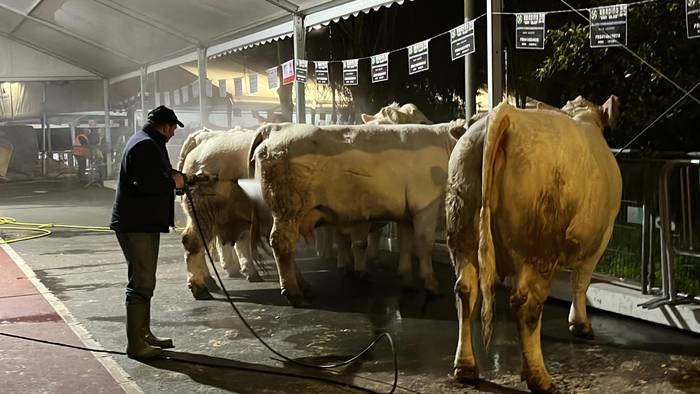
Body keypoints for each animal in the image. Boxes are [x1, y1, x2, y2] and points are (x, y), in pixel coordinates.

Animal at [249, 121, 468, 306]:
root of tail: (275, 127)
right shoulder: (425, 205)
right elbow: (424, 243)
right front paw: (432, 285)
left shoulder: (406, 213)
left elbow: (406, 243)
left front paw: (406, 280)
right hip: (289, 208)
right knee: (281, 242)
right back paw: (293, 292)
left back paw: (304, 286)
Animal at [446, 96, 620, 394]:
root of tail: (505, 114)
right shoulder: (600, 238)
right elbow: (581, 282)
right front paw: (580, 324)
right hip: (538, 249)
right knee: (527, 303)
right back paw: (540, 377)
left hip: (462, 238)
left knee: (466, 291)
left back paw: (466, 367)